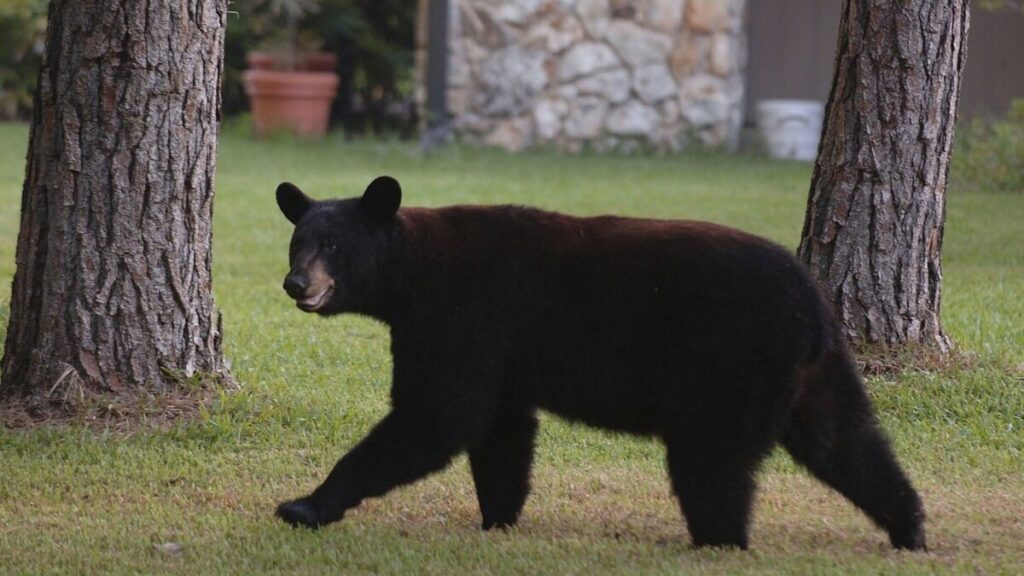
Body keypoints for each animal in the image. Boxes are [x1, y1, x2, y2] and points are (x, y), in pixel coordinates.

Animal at [273, 175, 926, 551]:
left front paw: (305, 505)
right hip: (816, 372)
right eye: (296, 242)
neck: (411, 273)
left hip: (727, 362)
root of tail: (811, 303)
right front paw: (499, 518)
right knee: (846, 441)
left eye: (333, 245)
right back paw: (909, 527)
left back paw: (718, 540)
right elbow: (502, 431)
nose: (295, 283)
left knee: (711, 461)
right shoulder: (499, 351)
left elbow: (437, 415)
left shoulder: (461, 319)